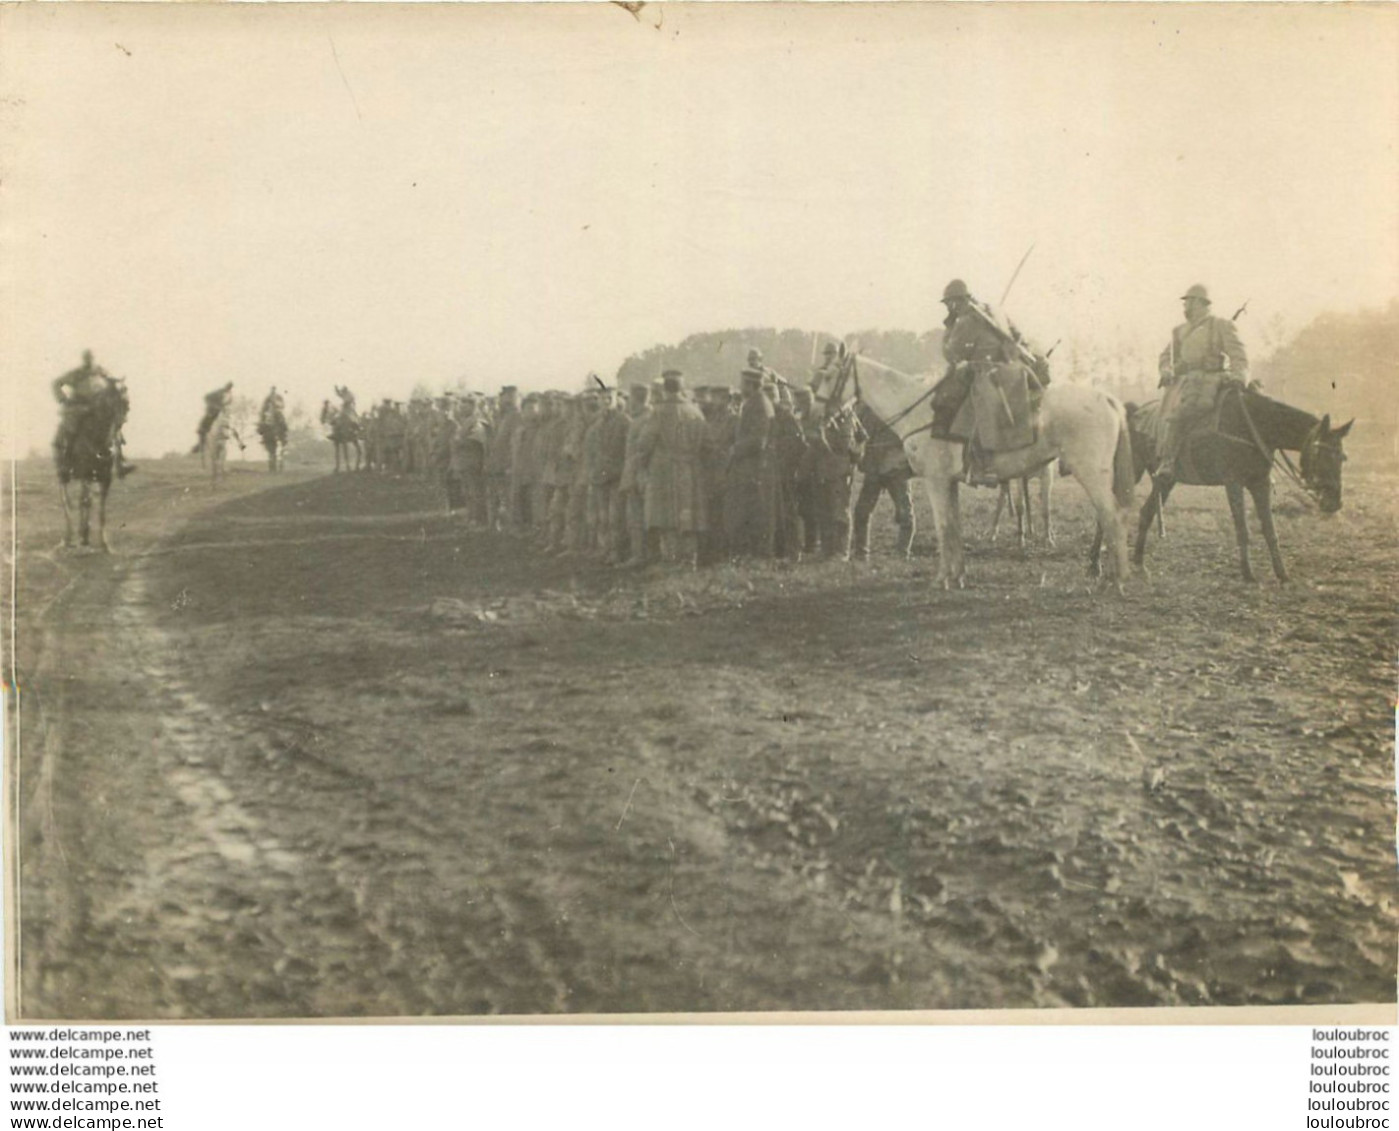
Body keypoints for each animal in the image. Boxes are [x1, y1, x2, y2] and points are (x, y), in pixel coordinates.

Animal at [53, 383, 129, 551]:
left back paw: (83, 535)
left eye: (126, 405)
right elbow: (85, 501)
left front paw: (105, 544)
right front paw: (82, 536)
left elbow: (101, 509)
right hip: (64, 475)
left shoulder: (106, 478)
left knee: (84, 500)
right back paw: (70, 538)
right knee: (66, 500)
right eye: (109, 406)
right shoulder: (86, 474)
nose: (120, 425)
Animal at [817, 358, 1141, 590]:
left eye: (828, 375)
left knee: (1112, 517)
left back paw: (1117, 579)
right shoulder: (949, 483)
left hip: (1091, 474)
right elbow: (954, 527)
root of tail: (1107, 398)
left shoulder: (935, 482)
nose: (823, 419)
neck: (924, 414)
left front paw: (942, 579)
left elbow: (943, 527)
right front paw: (957, 576)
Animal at [1091, 389, 1354, 582]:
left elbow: (1270, 531)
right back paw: (1095, 565)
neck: (1254, 426)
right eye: (1322, 455)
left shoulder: (1259, 484)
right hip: (1130, 473)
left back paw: (1139, 563)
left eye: (1341, 458)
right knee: (1107, 512)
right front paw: (1248, 574)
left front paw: (1282, 573)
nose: (1334, 503)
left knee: (1147, 512)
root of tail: (1131, 412)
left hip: (1166, 480)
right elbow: (1242, 529)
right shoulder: (1233, 483)